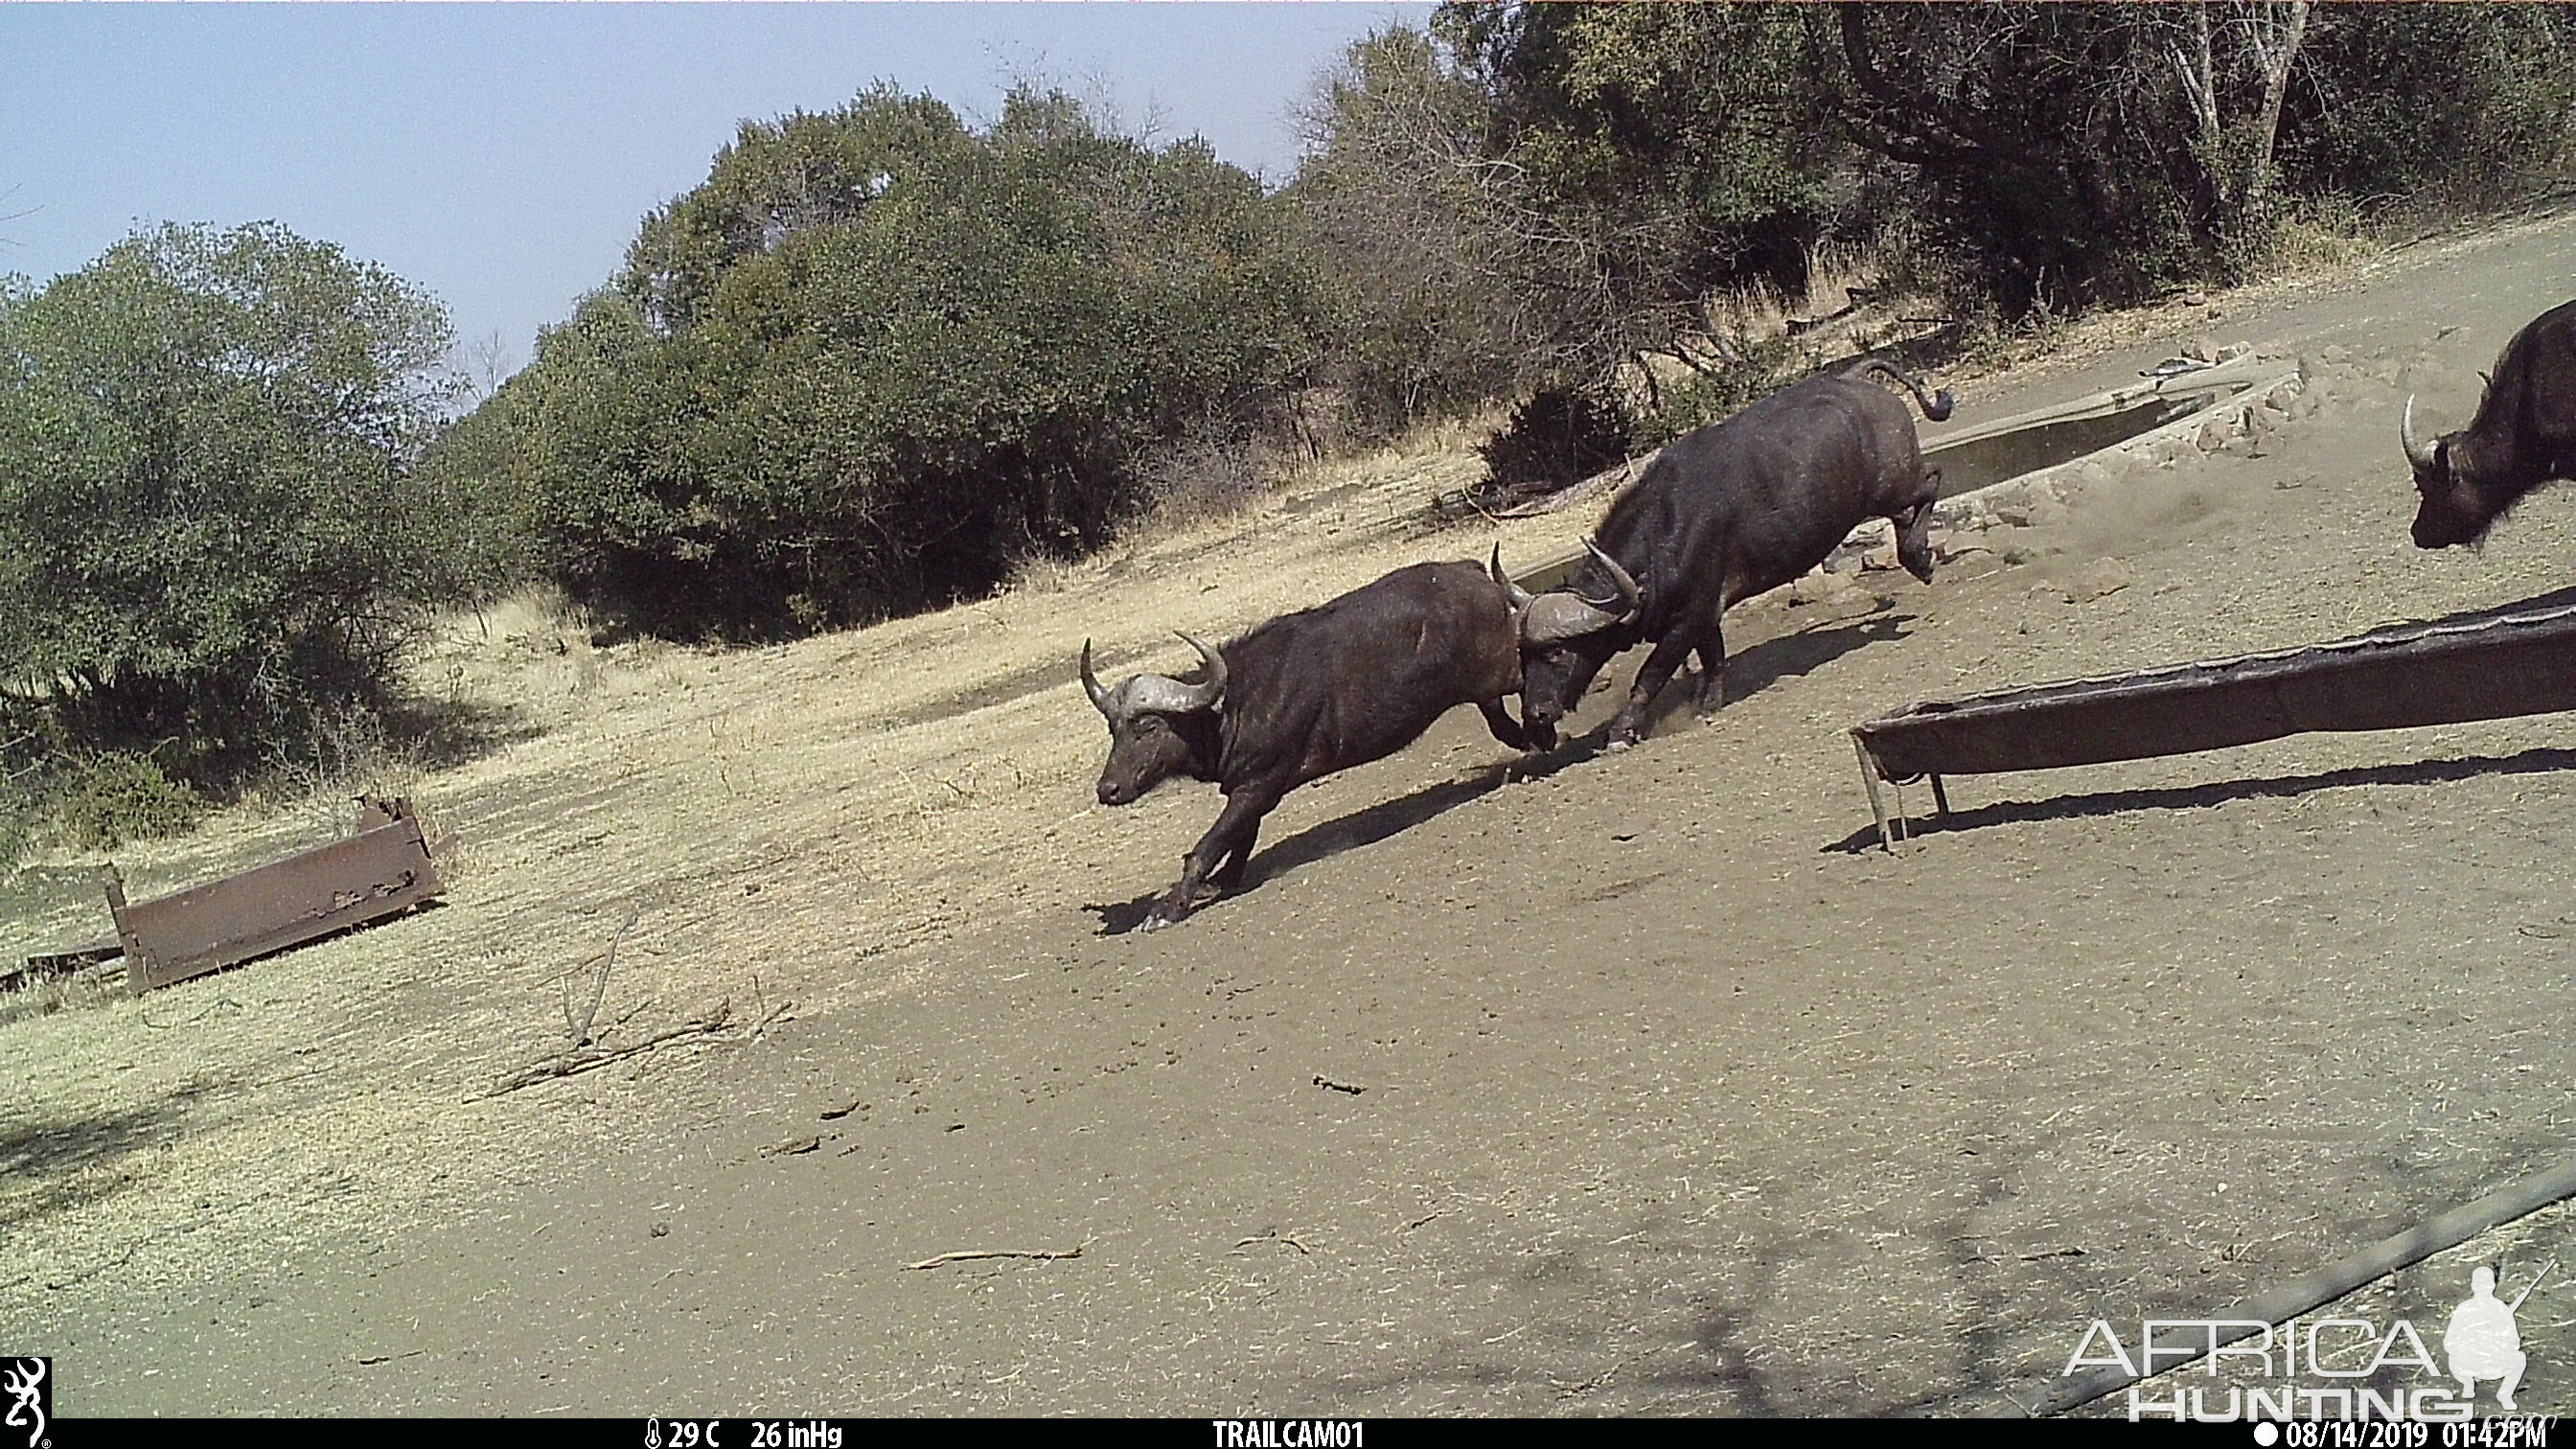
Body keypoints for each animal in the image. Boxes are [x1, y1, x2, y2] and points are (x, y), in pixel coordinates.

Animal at [1076, 559, 1535, 928]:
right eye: (1113, 729)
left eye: (1149, 726)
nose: (1108, 789)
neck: (1232, 706)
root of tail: (1472, 572)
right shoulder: (1249, 789)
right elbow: (1240, 838)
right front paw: (1222, 881)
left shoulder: (1258, 784)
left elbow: (1212, 842)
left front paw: (1168, 908)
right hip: (1484, 688)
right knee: (1503, 724)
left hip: (1502, 670)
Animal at [1504, 356, 1947, 748]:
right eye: (1523, 654)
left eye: (1557, 651)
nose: (1536, 713)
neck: (1663, 535)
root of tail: (1855, 380)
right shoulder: (1706, 615)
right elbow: (1713, 660)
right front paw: (1708, 705)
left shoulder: (1686, 621)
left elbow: (1649, 675)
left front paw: (1622, 732)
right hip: (1883, 497)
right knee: (1908, 510)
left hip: (1895, 485)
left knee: (1931, 481)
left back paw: (1920, 559)